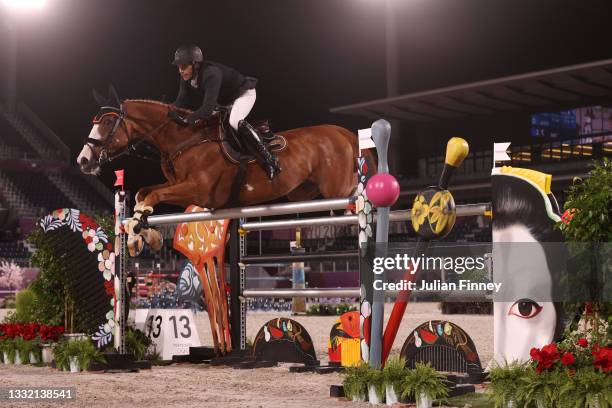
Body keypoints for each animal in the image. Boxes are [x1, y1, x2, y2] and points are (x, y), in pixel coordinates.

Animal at [76, 91, 364, 253]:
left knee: (351, 200)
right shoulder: (177, 184)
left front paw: (139, 232)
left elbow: (152, 197)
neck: (184, 140)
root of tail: (343, 132)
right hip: (302, 192)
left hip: (336, 192)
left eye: (109, 123)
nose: (83, 160)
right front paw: (142, 234)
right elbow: (143, 194)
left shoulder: (200, 192)